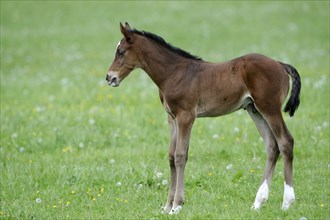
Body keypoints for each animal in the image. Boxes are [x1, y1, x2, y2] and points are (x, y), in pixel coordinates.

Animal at [106, 22, 302, 213]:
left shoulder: (186, 116)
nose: (109, 77)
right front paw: (167, 206)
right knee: (271, 146)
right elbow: (171, 156)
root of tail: (280, 64)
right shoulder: (172, 118)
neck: (173, 73)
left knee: (285, 142)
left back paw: (287, 202)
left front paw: (177, 205)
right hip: (254, 110)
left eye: (121, 52)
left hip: (270, 108)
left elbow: (180, 155)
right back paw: (258, 203)